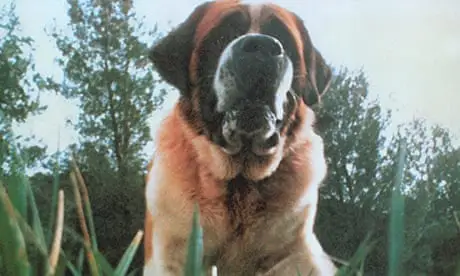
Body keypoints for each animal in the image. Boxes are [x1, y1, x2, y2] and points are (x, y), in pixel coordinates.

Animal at [144, 1, 338, 274]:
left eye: (284, 39)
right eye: (223, 36)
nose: (262, 46)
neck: (240, 183)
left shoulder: (298, 252)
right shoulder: (171, 249)